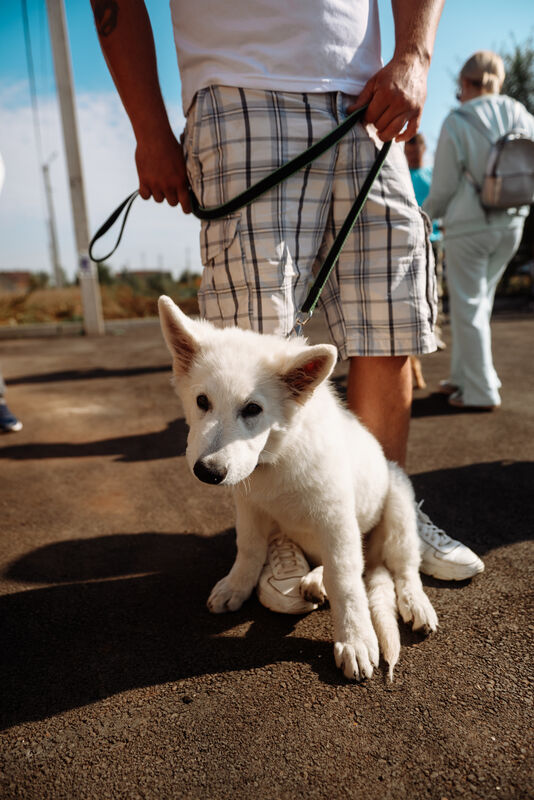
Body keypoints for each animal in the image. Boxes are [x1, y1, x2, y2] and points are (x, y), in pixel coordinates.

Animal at [158, 296, 438, 681]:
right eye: (202, 401)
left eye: (253, 409)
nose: (208, 472)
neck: (278, 456)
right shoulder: (250, 507)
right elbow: (249, 548)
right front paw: (236, 586)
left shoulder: (336, 518)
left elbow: (345, 581)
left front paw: (355, 639)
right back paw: (315, 580)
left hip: (397, 510)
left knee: (403, 568)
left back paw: (416, 603)